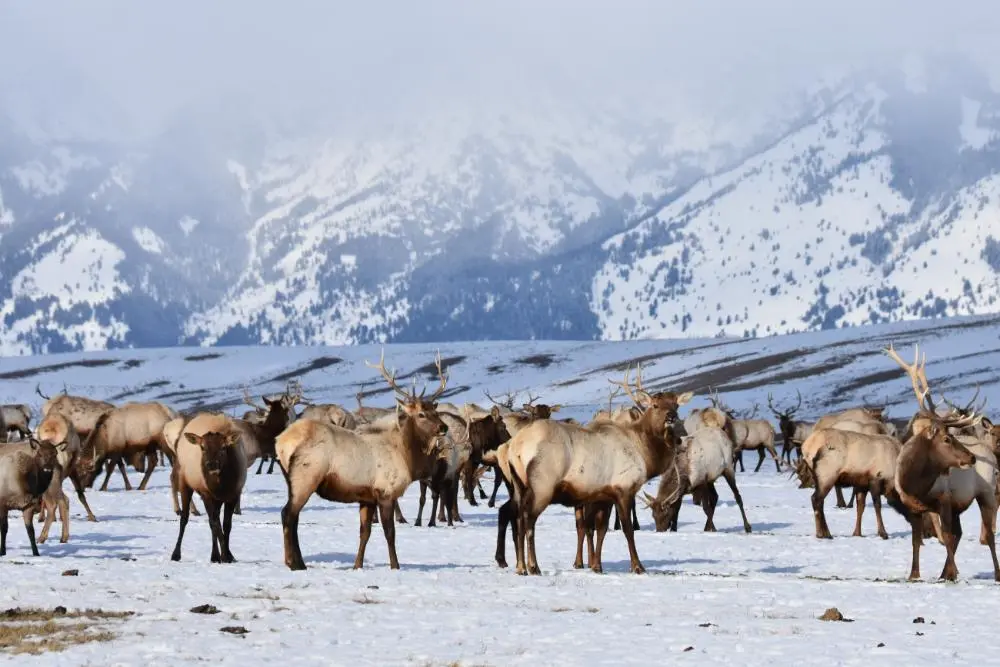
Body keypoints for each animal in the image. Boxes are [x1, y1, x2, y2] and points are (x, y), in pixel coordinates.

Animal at [277, 350, 450, 571]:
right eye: (421, 414)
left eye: (435, 411)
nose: (444, 427)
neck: (407, 456)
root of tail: (281, 442)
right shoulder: (386, 492)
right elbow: (390, 533)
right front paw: (395, 566)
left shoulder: (366, 497)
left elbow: (364, 533)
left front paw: (357, 565)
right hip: (306, 475)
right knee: (288, 514)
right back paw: (295, 563)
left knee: (293, 516)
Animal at [505, 365, 691, 575]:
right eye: (655, 405)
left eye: (676, 405)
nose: (672, 417)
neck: (645, 454)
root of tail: (516, 446)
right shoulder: (624, 489)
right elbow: (627, 529)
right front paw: (637, 566)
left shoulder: (604, 496)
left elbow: (601, 529)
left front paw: (597, 565)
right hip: (542, 485)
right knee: (529, 520)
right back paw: (533, 566)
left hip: (518, 485)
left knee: (518, 519)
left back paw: (520, 566)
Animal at [884, 343, 999, 582]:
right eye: (946, 439)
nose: (971, 458)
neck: (914, 484)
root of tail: (989, 452)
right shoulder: (915, 509)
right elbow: (916, 541)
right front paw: (914, 574)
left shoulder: (945, 500)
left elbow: (946, 536)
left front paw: (953, 572)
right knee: (961, 533)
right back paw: (945, 572)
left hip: (986, 492)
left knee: (989, 533)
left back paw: (996, 573)